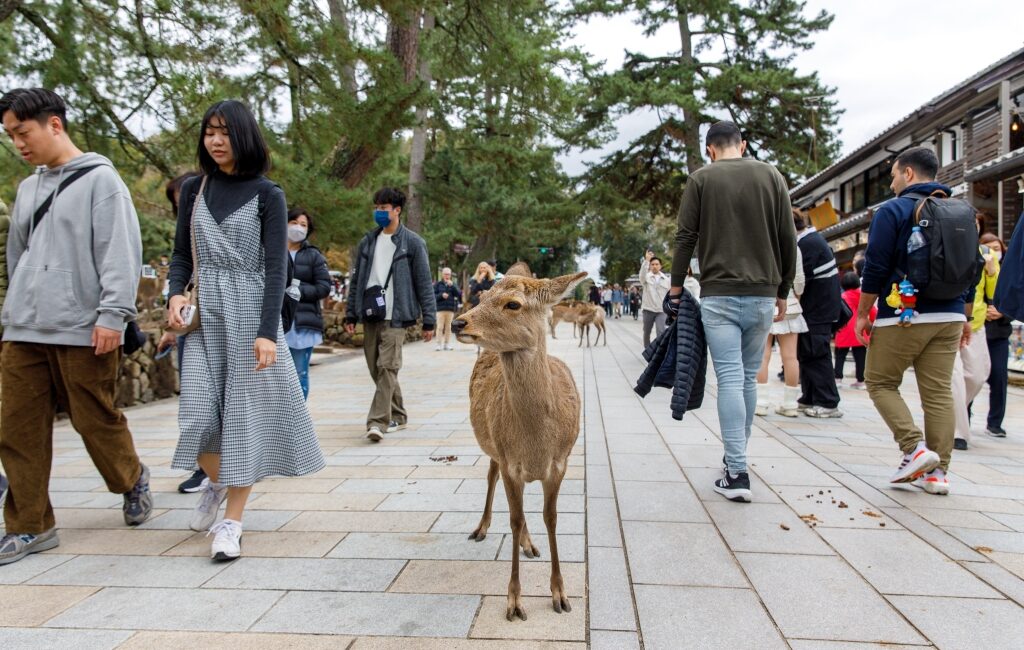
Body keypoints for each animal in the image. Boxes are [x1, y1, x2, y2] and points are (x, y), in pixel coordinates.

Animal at [450, 272, 585, 622]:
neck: (536, 443)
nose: (458, 322)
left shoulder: (560, 463)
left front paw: (561, 595)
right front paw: (513, 601)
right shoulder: (510, 461)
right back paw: (481, 529)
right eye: (483, 296)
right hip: (493, 447)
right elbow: (514, 519)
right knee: (492, 477)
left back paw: (529, 545)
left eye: (513, 304)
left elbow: (549, 518)